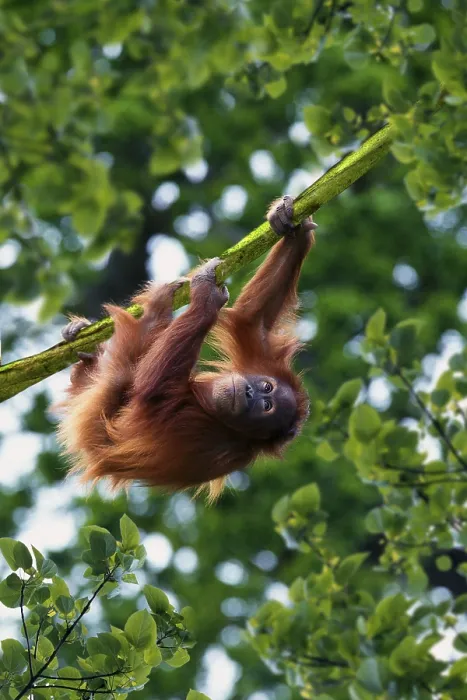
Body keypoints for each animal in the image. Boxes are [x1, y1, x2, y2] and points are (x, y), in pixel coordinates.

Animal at [56, 196, 317, 500]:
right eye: (266, 388)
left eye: (266, 407)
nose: (250, 393)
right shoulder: (264, 362)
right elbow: (254, 319)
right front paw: (289, 224)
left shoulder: (202, 436)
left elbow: (151, 393)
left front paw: (206, 299)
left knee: (123, 378)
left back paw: (151, 317)